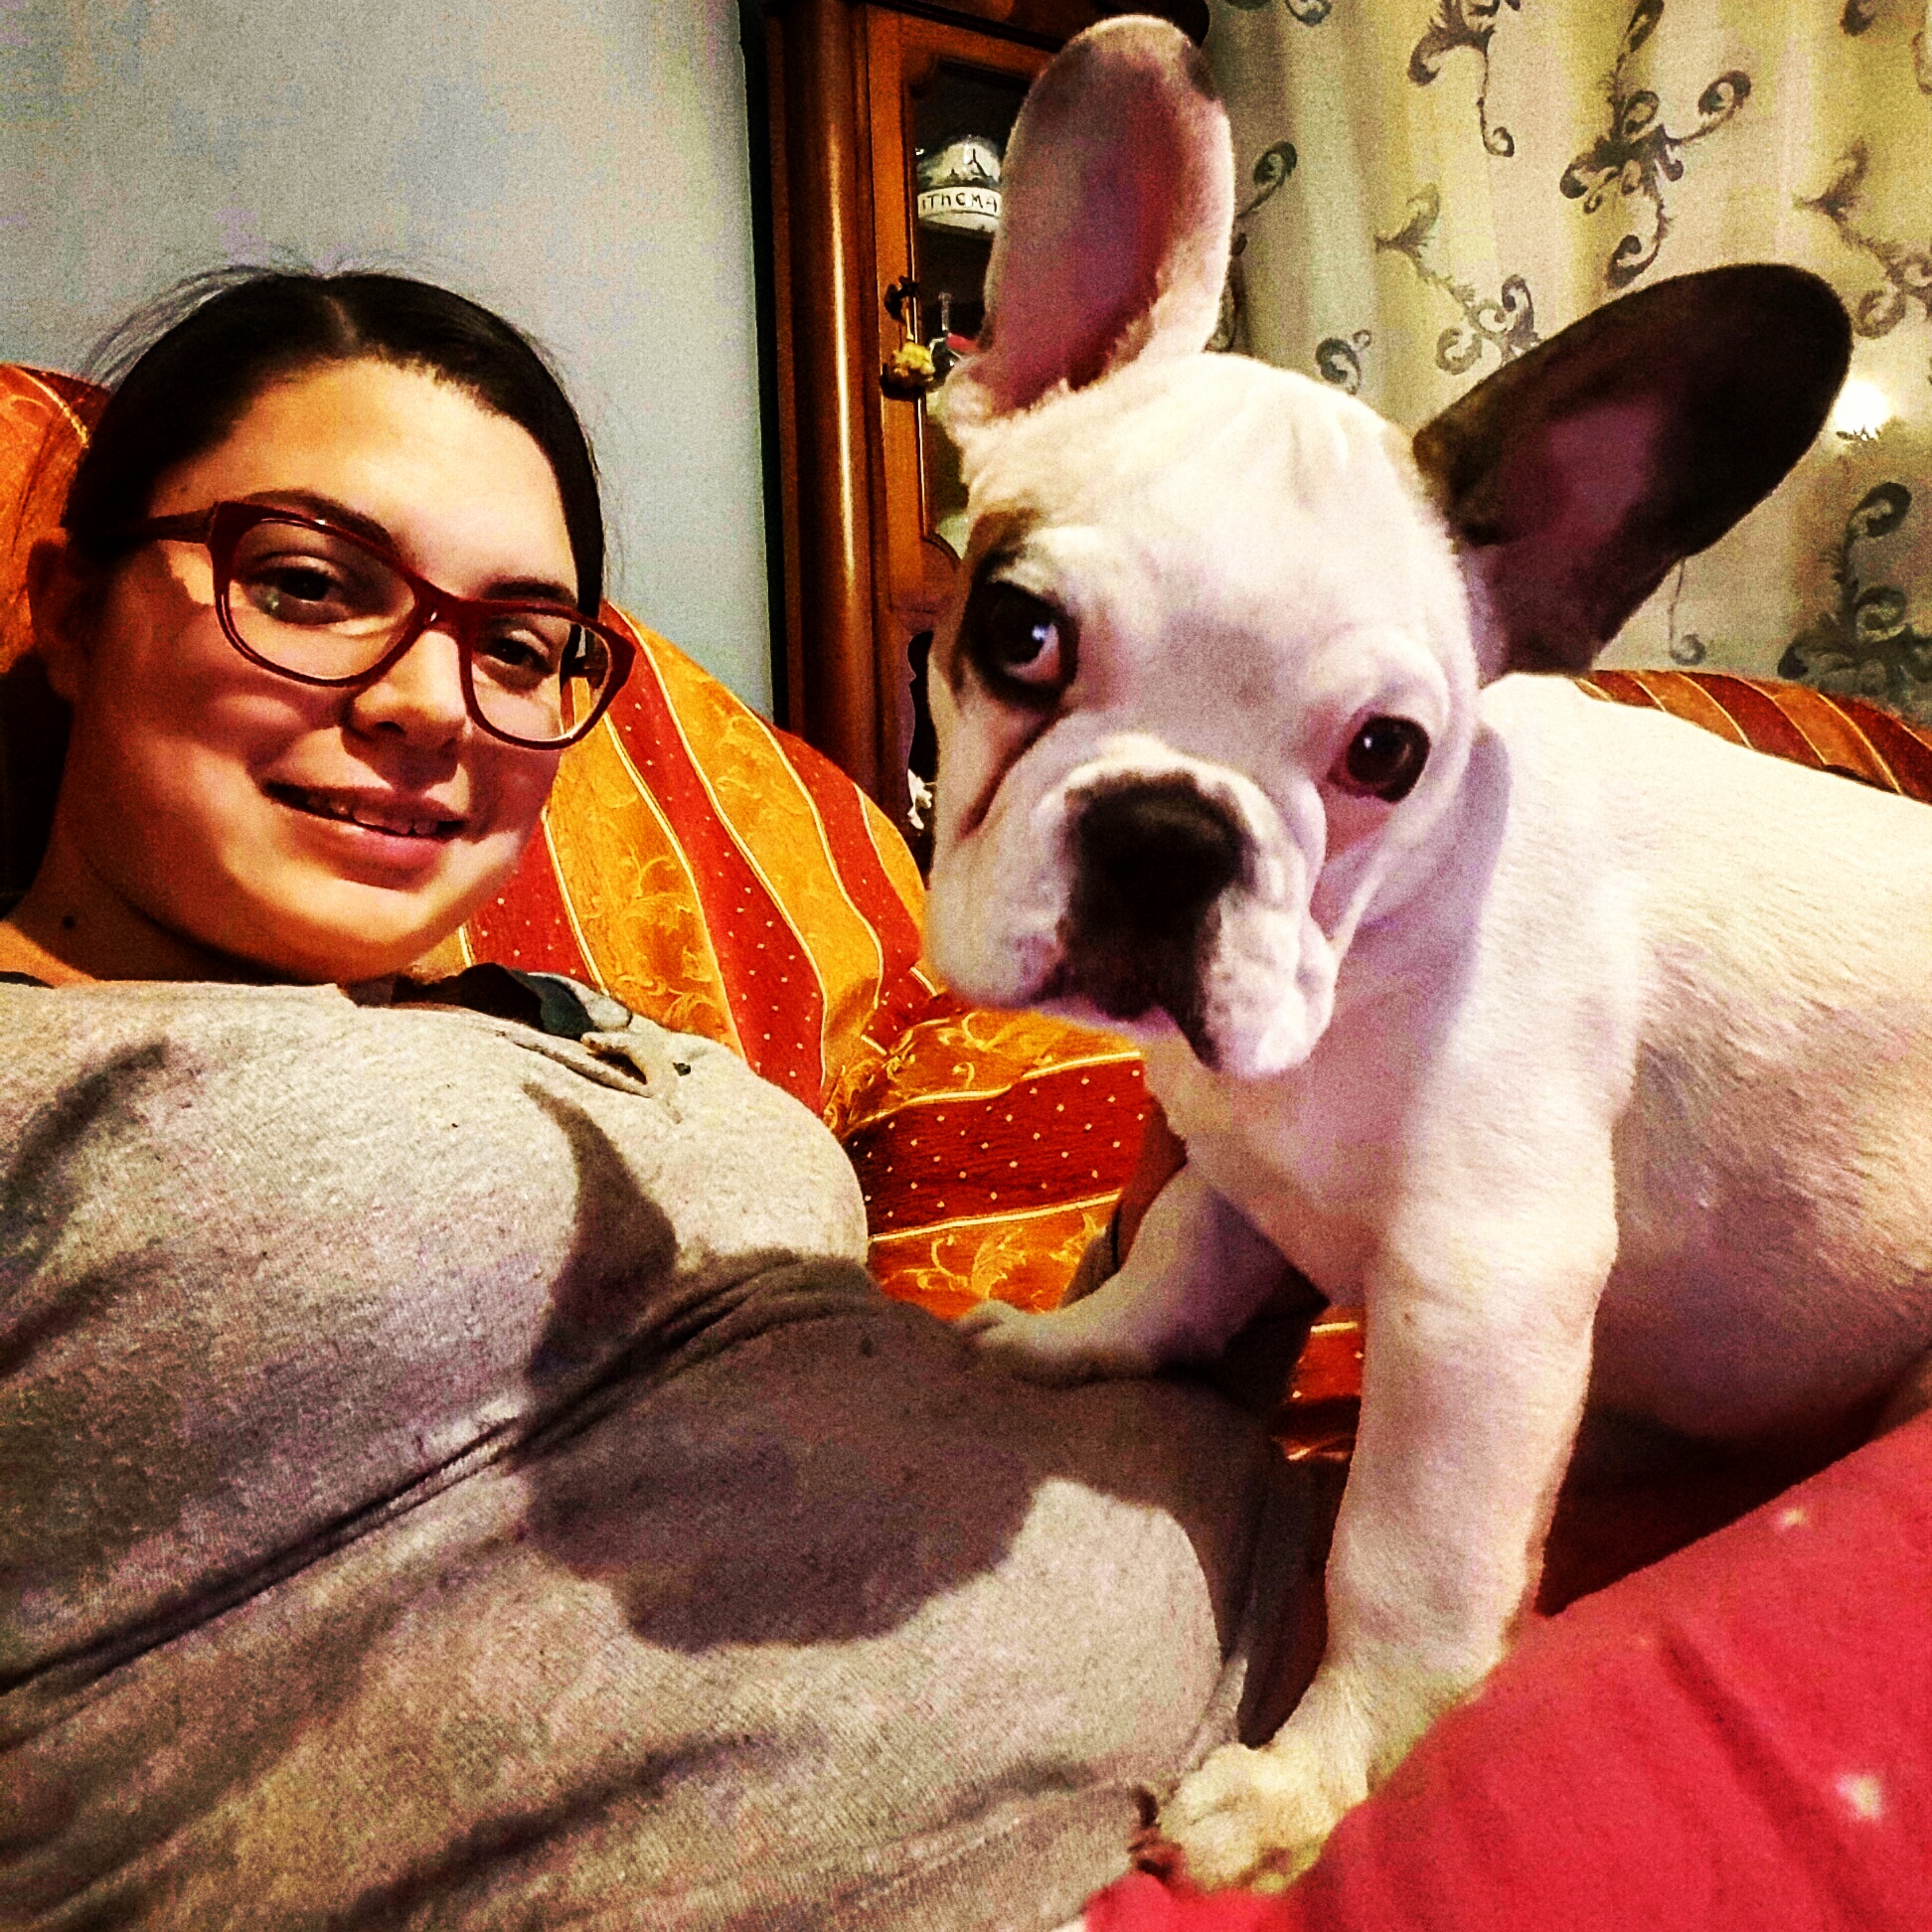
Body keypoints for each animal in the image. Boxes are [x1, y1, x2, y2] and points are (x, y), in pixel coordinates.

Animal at [923, 15, 1932, 1890]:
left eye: (1385, 754)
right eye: (1011, 631)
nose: (1168, 826)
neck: (1362, 975)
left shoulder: (1479, 1299)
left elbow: (1399, 1569)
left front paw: (1301, 1783)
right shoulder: (1235, 1166)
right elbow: (1183, 1258)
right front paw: (1081, 1338)